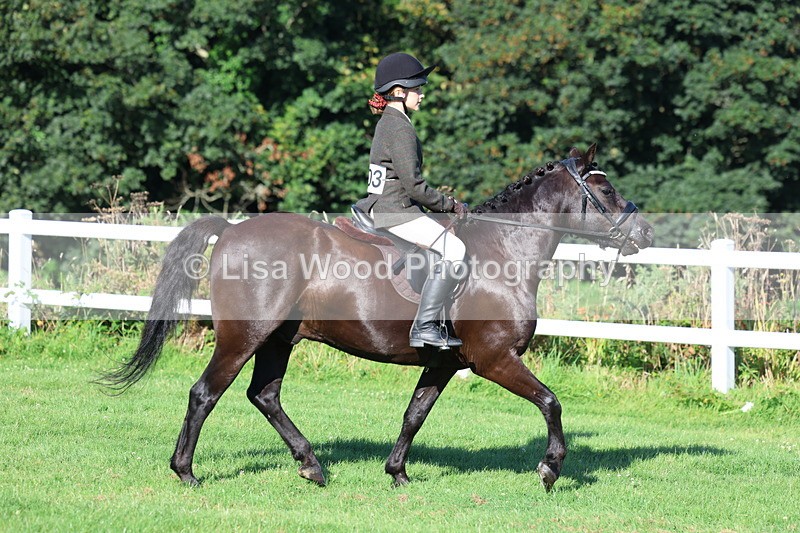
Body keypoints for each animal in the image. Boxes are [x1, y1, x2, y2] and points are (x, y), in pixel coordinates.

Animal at [102, 144, 653, 492]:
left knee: (264, 396)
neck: (504, 251)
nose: (644, 233)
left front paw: (397, 473)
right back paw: (186, 472)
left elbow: (415, 414)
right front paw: (551, 468)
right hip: (245, 336)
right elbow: (551, 402)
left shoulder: (444, 363)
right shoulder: (495, 359)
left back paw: (312, 467)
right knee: (205, 393)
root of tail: (234, 229)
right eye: (605, 192)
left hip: (279, 340)